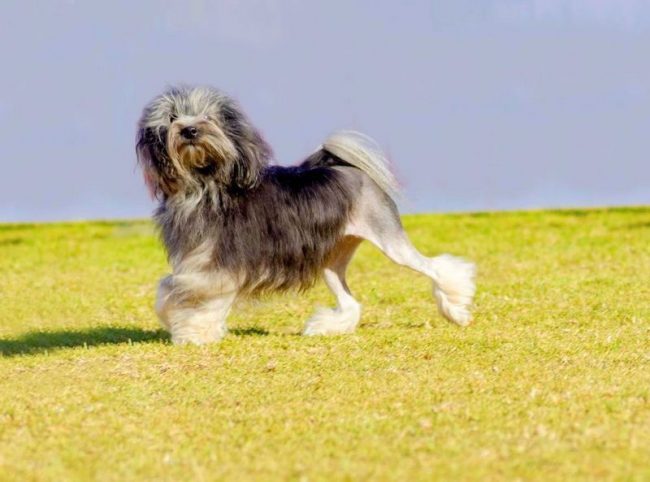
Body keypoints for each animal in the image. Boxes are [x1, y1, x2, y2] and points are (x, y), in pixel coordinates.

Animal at [134, 84, 474, 344]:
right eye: (173, 117)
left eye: (208, 116)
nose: (189, 129)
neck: (205, 184)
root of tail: (349, 168)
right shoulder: (199, 263)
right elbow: (170, 287)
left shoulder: (220, 265)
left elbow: (193, 294)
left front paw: (195, 334)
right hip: (331, 260)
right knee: (351, 303)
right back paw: (324, 327)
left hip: (390, 240)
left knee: (438, 268)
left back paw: (456, 312)